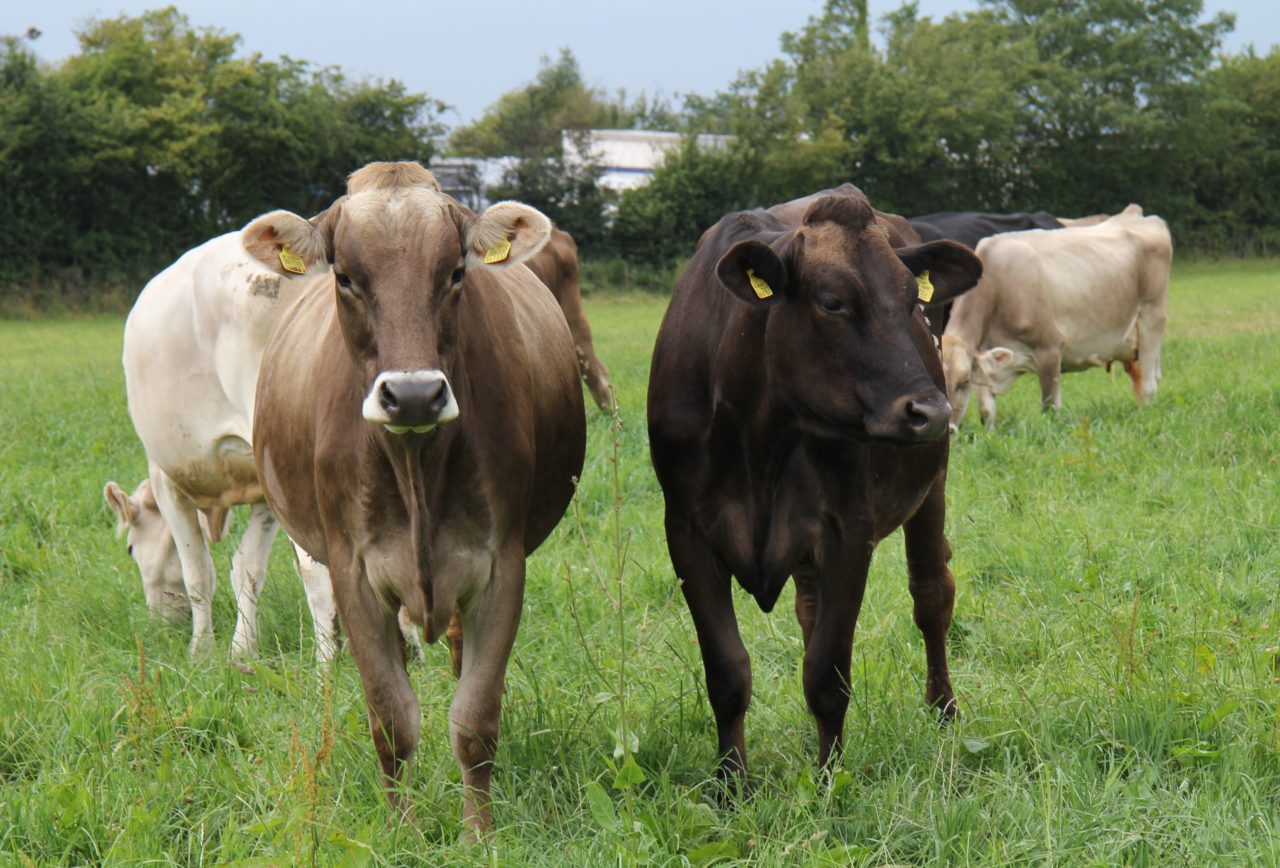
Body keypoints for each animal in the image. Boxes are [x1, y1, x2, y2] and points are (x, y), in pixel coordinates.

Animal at [103, 231, 340, 660]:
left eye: (130, 549)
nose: (161, 623)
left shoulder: (166, 479)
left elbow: (197, 571)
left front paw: (201, 651)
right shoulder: (265, 489)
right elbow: (247, 567)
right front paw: (242, 652)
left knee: (316, 566)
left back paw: (328, 664)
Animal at [241, 161, 586, 834]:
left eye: (454, 274)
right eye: (346, 278)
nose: (415, 395)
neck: (416, 469)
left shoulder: (502, 565)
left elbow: (474, 719)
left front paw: (479, 834)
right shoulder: (351, 569)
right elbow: (391, 717)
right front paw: (403, 831)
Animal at [645, 185, 983, 793]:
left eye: (912, 301)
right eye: (831, 302)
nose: (931, 411)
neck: (759, 431)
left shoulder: (848, 528)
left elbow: (828, 672)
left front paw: (829, 783)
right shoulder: (685, 530)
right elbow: (727, 671)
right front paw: (731, 786)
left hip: (932, 487)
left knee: (932, 597)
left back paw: (944, 710)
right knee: (808, 610)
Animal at [942, 207, 1172, 432]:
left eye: (963, 382)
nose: (949, 430)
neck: (998, 290)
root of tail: (1134, 214)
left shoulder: (1049, 350)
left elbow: (1050, 407)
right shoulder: (987, 363)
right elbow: (986, 413)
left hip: (1153, 315)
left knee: (1149, 385)